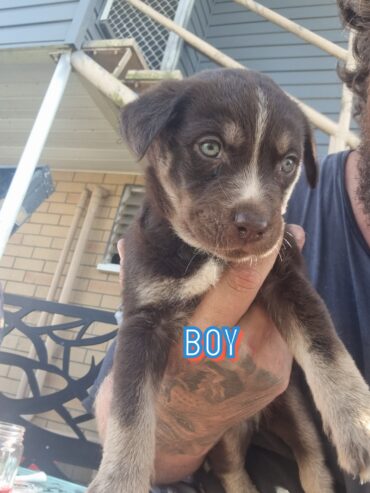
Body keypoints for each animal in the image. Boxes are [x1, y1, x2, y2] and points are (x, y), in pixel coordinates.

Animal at [87, 69, 370, 492]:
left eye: (289, 163)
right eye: (210, 147)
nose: (254, 224)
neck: (210, 258)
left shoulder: (287, 279)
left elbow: (326, 348)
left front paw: (359, 422)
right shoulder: (143, 320)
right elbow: (129, 413)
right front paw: (118, 481)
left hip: (293, 407)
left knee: (313, 462)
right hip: (223, 438)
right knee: (232, 471)